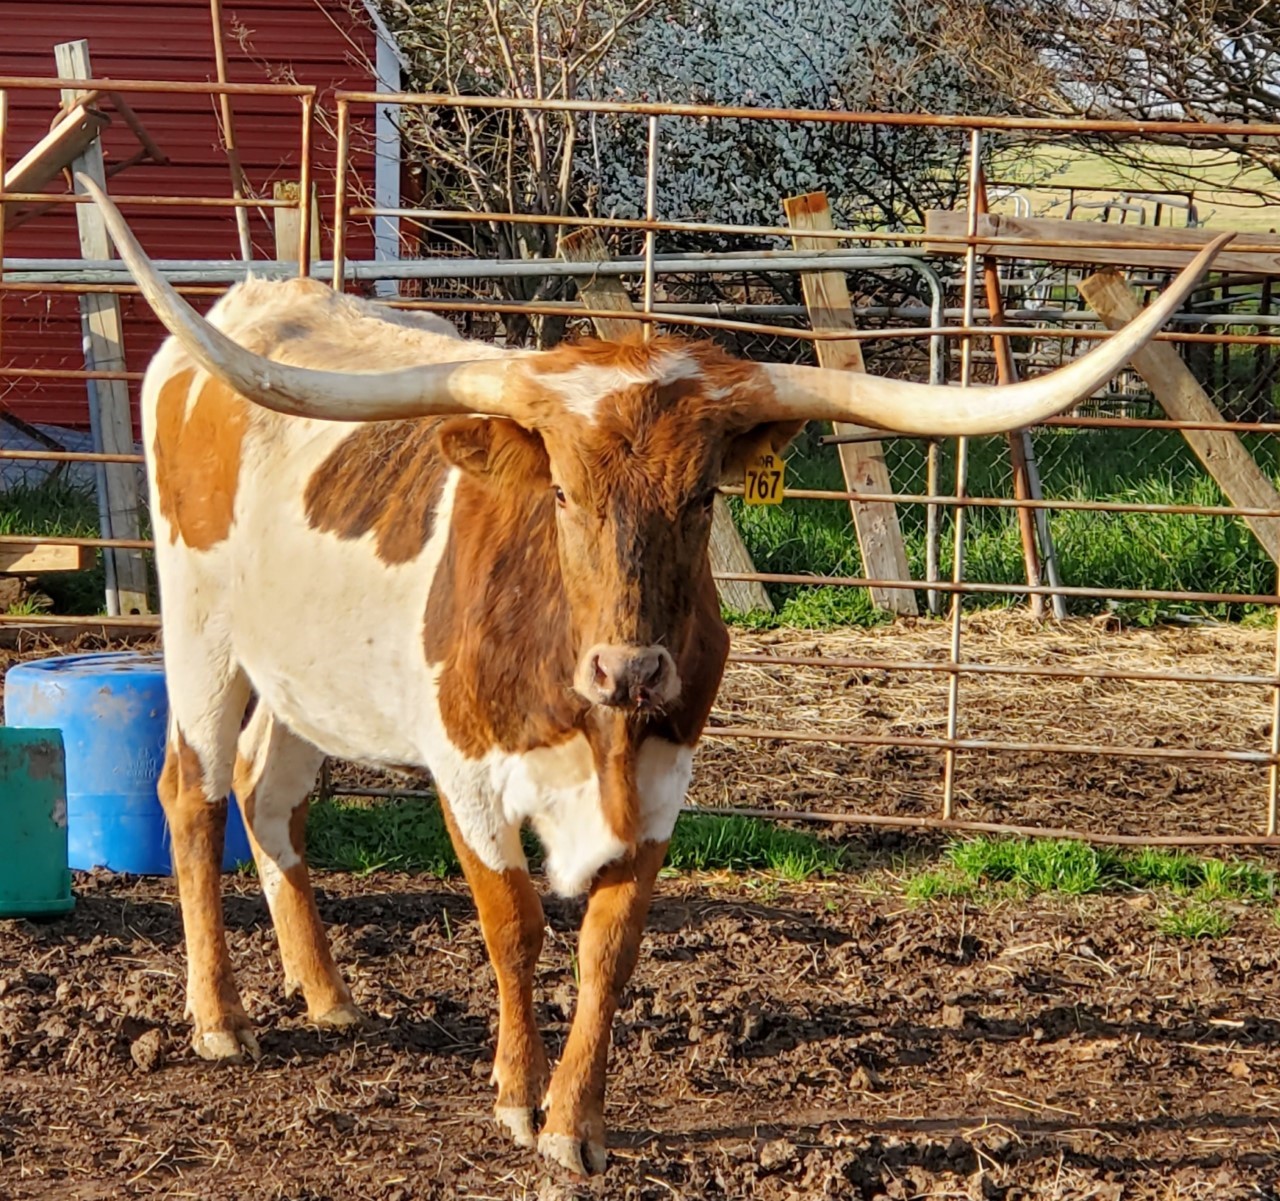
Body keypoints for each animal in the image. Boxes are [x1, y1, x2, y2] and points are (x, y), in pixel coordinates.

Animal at [83, 177, 1225, 1176]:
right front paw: (515, 1095)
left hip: (301, 677)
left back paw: (324, 992)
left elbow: (609, 948)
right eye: (558, 489)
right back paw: (221, 1019)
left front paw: (574, 1126)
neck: (599, 728)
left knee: (270, 794)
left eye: (700, 494)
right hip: (200, 635)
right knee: (193, 790)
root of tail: (262, 297)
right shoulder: (467, 772)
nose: (627, 666)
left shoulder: (667, 782)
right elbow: (515, 925)